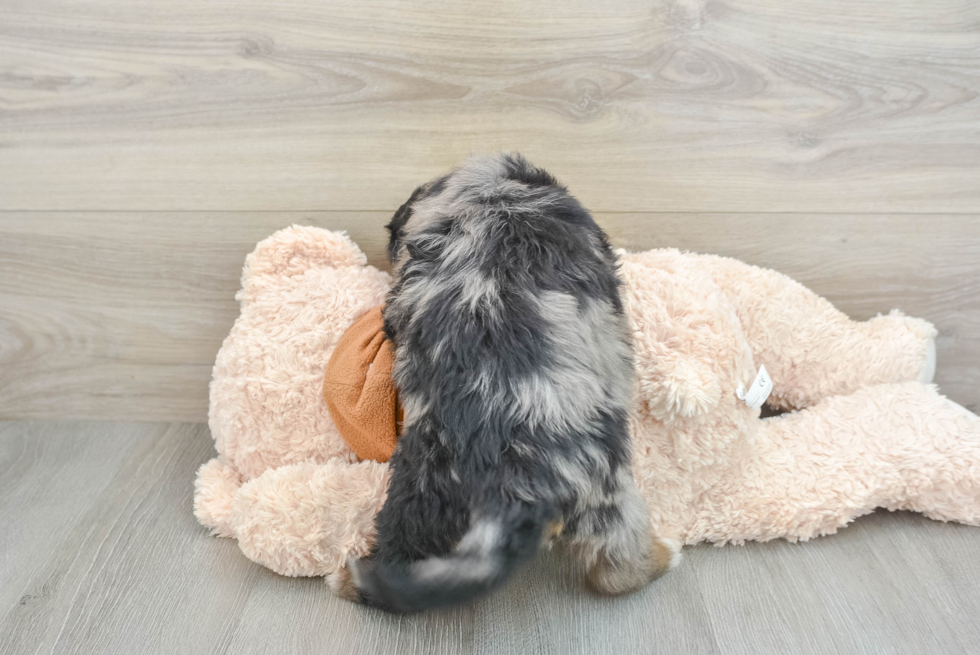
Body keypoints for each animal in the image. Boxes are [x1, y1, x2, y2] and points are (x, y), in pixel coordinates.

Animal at [326, 155, 676, 616]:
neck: (496, 197)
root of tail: (512, 482)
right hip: (607, 493)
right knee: (619, 570)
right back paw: (662, 556)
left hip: (419, 495)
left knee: (398, 564)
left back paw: (348, 580)